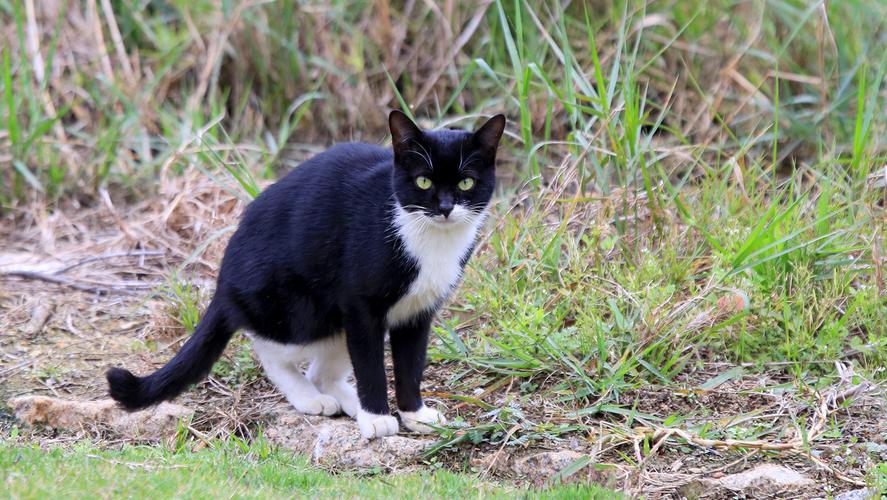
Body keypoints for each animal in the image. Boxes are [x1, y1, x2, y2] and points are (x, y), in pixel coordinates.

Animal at [106, 111, 506, 440]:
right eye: (423, 182)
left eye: (466, 183)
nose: (445, 207)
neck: (429, 241)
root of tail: (224, 279)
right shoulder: (360, 304)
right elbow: (370, 365)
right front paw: (377, 419)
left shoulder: (418, 310)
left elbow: (411, 364)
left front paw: (414, 414)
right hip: (299, 308)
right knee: (268, 346)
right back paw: (312, 398)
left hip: (332, 320)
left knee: (322, 371)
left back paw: (345, 400)